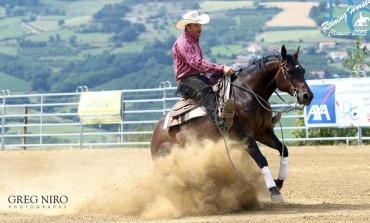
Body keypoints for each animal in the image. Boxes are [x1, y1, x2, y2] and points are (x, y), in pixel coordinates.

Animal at [149, 45, 314, 204]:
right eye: (290, 71)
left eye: (303, 70)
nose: (307, 96)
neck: (246, 95)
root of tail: (155, 135)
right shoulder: (245, 136)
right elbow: (261, 159)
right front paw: (274, 192)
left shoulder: (263, 132)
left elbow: (283, 150)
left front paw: (278, 182)